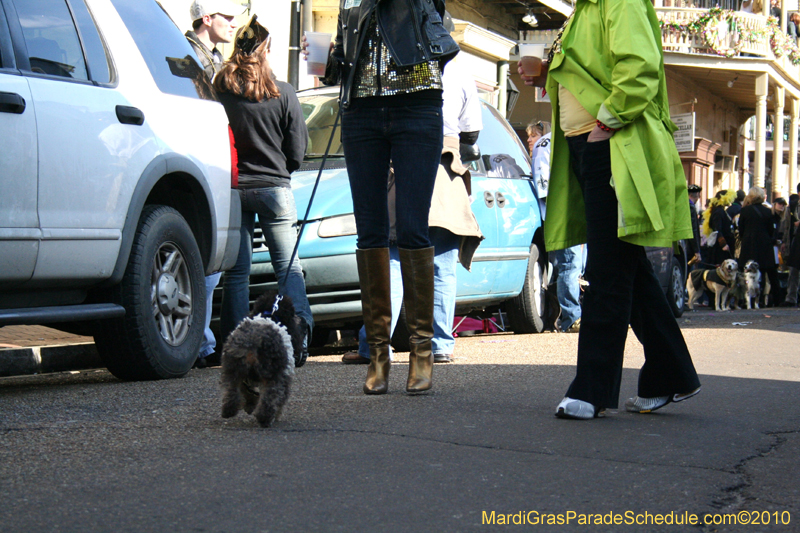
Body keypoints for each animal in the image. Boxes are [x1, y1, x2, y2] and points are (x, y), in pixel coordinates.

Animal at [220, 290, 304, 428]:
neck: (270, 315)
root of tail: (254, 341)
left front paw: (250, 406)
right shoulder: (284, 375)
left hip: (233, 368)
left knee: (232, 390)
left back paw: (229, 410)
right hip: (273, 374)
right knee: (270, 397)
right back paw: (265, 418)